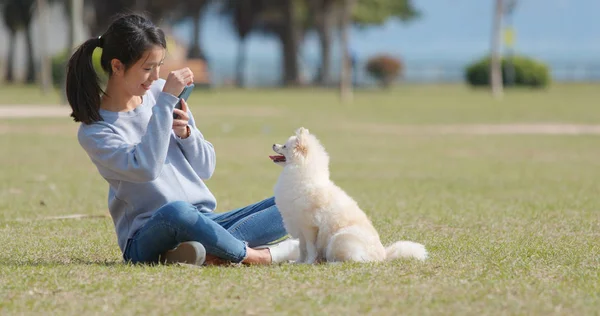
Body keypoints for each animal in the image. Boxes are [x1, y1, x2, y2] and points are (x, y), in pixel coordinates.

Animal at [270, 127, 428, 262]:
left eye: (284, 146)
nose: (273, 144)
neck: (301, 174)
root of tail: (383, 256)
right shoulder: (299, 227)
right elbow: (302, 249)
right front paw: (297, 262)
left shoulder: (309, 227)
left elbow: (310, 249)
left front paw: (308, 263)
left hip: (339, 238)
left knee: (355, 260)